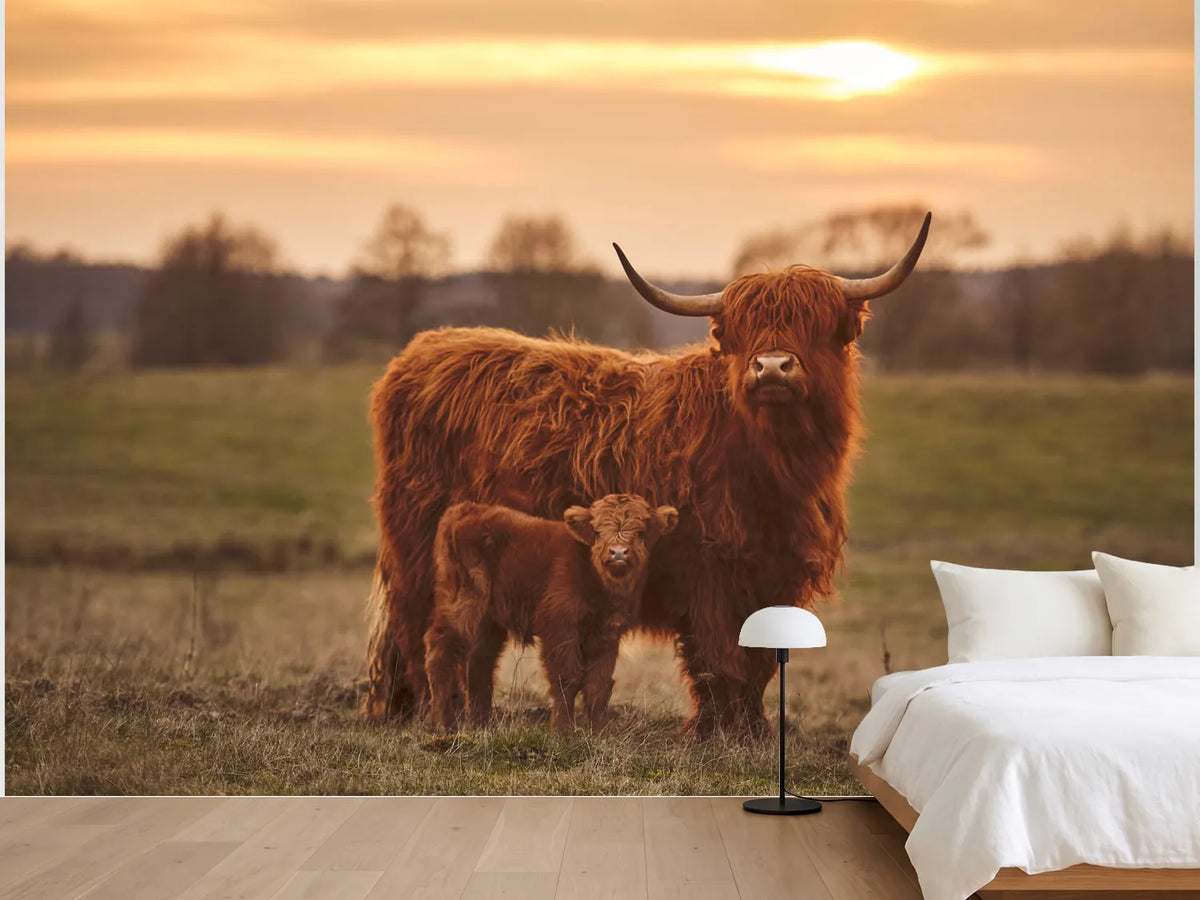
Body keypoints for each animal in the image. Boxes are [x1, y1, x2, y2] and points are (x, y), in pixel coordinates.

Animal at [424, 494, 678, 733]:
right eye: (597, 532)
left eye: (641, 532)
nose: (618, 553)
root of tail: (465, 509)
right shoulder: (559, 625)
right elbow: (568, 678)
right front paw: (562, 731)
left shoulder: (607, 632)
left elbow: (598, 685)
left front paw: (600, 731)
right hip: (462, 604)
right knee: (441, 652)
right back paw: (442, 725)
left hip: (488, 621)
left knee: (479, 663)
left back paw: (482, 725)